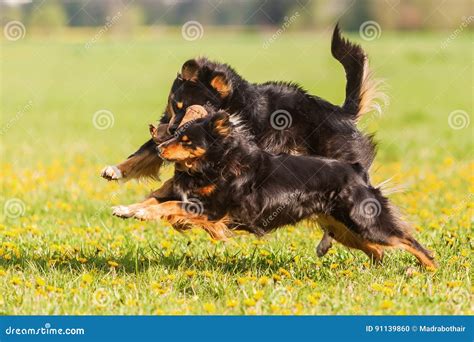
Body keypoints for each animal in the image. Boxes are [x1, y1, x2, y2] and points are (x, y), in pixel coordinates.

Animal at [105, 25, 384, 256]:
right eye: (176, 105)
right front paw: (117, 170)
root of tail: (343, 113)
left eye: (191, 108)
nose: (173, 130)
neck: (231, 106)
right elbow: (144, 153)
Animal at [115, 108, 436, 268]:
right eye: (175, 134)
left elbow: (169, 206)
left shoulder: (212, 211)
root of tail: (356, 171)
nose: (159, 149)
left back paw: (429, 269)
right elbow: (156, 202)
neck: (219, 161)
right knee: (378, 251)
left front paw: (140, 213)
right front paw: (128, 210)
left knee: (408, 241)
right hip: (343, 227)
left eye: (186, 140)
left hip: (364, 222)